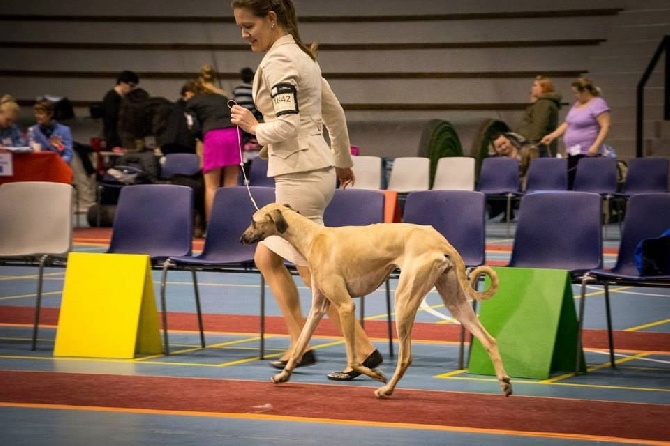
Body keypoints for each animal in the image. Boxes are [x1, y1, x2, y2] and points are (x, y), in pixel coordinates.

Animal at [243, 204, 516, 398]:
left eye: (253, 220)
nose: (242, 238)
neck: (313, 237)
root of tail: (440, 241)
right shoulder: (319, 307)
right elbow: (301, 341)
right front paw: (283, 375)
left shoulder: (346, 306)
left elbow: (353, 357)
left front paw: (374, 373)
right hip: (455, 303)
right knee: (489, 339)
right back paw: (504, 382)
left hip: (404, 301)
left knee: (405, 357)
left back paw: (387, 389)